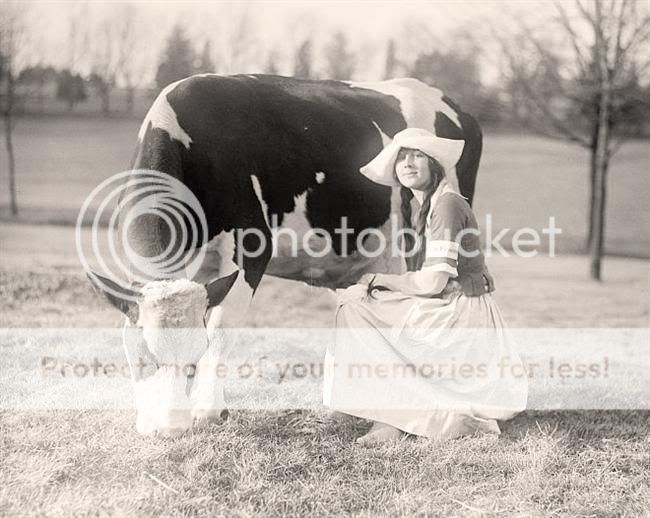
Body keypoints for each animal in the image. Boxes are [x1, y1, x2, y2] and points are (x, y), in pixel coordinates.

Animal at [88, 74, 483, 436]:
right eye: (141, 358)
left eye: (194, 358)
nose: (168, 429)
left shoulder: (252, 246)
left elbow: (220, 329)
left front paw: (208, 411)